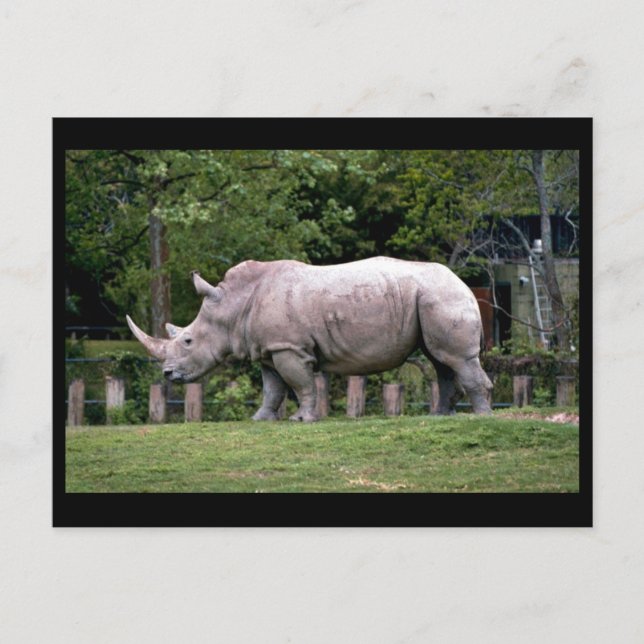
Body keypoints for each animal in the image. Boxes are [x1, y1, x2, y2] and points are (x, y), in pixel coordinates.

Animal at [127, 257, 492, 421]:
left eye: (187, 341)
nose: (167, 374)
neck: (233, 305)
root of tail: (464, 283)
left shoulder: (289, 347)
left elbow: (300, 383)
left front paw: (301, 420)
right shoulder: (268, 348)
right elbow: (272, 388)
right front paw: (260, 419)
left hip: (442, 295)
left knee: (454, 359)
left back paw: (482, 416)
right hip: (431, 296)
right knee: (439, 360)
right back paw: (440, 416)